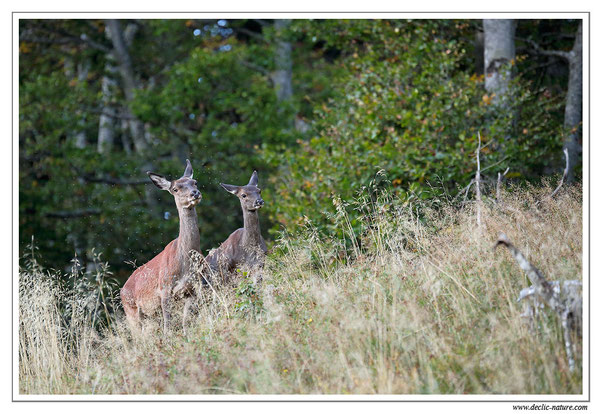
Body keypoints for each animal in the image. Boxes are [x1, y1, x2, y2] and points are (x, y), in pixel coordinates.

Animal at [119, 159, 202, 334]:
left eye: (195, 182)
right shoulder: (164, 289)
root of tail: (122, 290)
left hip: (149, 315)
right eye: (175, 189)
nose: (195, 193)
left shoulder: (192, 290)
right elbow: (168, 326)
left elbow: (185, 324)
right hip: (131, 312)